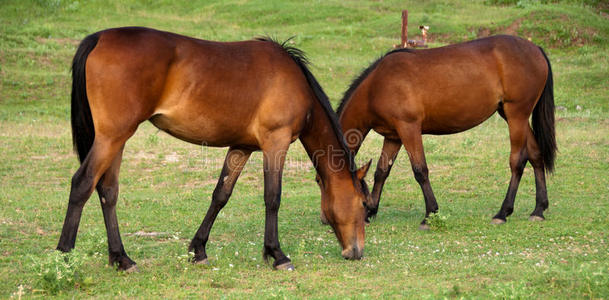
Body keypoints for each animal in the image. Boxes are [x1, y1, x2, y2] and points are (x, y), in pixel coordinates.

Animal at [58, 27, 370, 272]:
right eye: (364, 205)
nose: (356, 252)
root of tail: (99, 38)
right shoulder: (275, 143)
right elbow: (272, 197)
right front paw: (277, 254)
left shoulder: (241, 147)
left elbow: (221, 195)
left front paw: (198, 250)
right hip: (112, 137)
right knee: (82, 183)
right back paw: (63, 258)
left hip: (116, 140)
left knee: (108, 191)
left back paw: (121, 259)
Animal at [338, 34, 556, 227]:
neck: (376, 86)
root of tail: (536, 49)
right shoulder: (394, 136)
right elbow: (382, 172)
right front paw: (371, 211)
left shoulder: (409, 128)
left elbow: (420, 170)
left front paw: (430, 214)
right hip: (513, 116)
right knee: (536, 155)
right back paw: (538, 210)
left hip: (516, 115)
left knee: (518, 161)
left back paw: (503, 213)